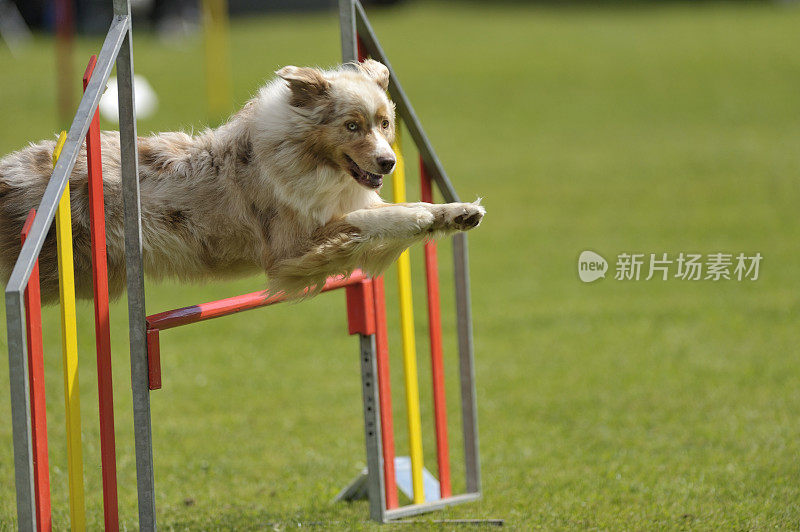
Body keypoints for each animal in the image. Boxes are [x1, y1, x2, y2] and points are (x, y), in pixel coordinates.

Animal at [0, 59, 484, 302]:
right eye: (352, 126)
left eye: (384, 123)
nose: (388, 163)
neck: (305, 157)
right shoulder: (290, 251)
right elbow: (378, 221)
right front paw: (420, 218)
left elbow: (399, 212)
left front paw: (456, 213)